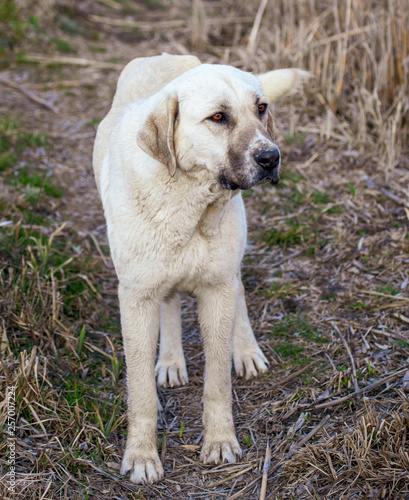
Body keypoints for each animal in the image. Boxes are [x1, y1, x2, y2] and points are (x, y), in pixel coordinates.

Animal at [92, 52, 308, 482]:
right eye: (218, 117)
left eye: (261, 108)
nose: (271, 157)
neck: (187, 202)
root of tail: (171, 57)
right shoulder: (137, 298)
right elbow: (140, 391)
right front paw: (142, 456)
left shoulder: (216, 290)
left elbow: (217, 381)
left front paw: (220, 440)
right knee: (171, 302)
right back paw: (171, 360)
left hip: (230, 263)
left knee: (238, 291)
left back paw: (246, 350)